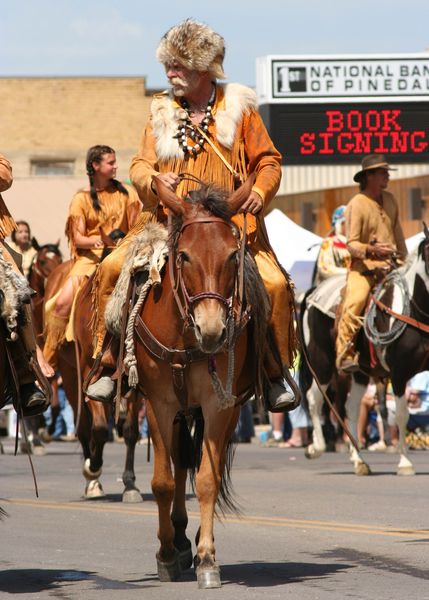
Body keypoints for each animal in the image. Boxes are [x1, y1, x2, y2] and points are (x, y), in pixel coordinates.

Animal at [132, 179, 270, 592]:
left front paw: (207, 558)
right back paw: (177, 542)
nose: (212, 330)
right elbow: (163, 481)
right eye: (185, 256)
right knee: (178, 464)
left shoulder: (218, 405)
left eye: (232, 256)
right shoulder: (158, 403)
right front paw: (165, 554)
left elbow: (207, 479)